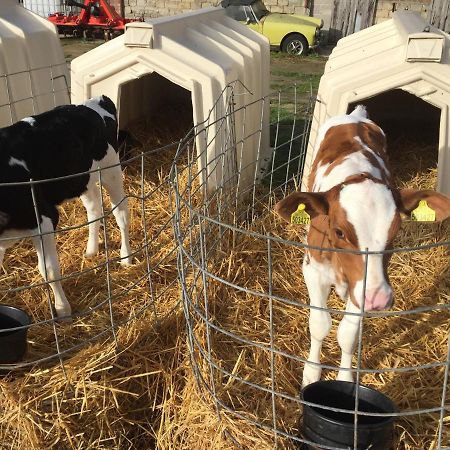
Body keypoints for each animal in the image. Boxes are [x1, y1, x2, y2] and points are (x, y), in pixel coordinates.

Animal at [0, 96, 132, 318]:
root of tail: (95, 100)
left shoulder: (44, 219)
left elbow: (49, 270)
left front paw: (62, 309)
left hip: (111, 170)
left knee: (121, 214)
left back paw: (126, 257)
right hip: (82, 181)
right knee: (94, 208)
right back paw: (91, 251)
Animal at [276, 104, 450, 386]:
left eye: (395, 231)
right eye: (339, 231)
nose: (378, 299)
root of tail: (355, 116)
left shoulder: (362, 284)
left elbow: (348, 333)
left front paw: (345, 379)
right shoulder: (313, 270)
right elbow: (319, 324)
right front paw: (311, 373)